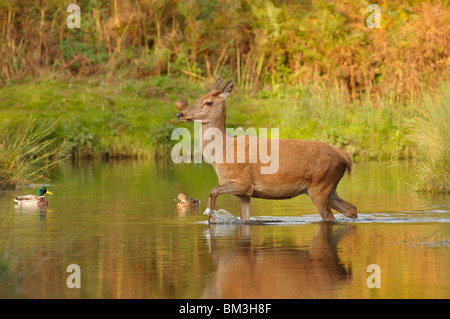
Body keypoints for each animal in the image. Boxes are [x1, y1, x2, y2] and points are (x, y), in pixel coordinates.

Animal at [176, 77, 356, 222]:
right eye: (198, 98)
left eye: (208, 102)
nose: (180, 114)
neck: (222, 152)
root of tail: (345, 156)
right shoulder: (243, 194)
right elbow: (244, 218)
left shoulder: (244, 183)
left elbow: (213, 190)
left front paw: (211, 219)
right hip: (328, 188)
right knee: (351, 209)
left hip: (320, 185)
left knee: (330, 217)